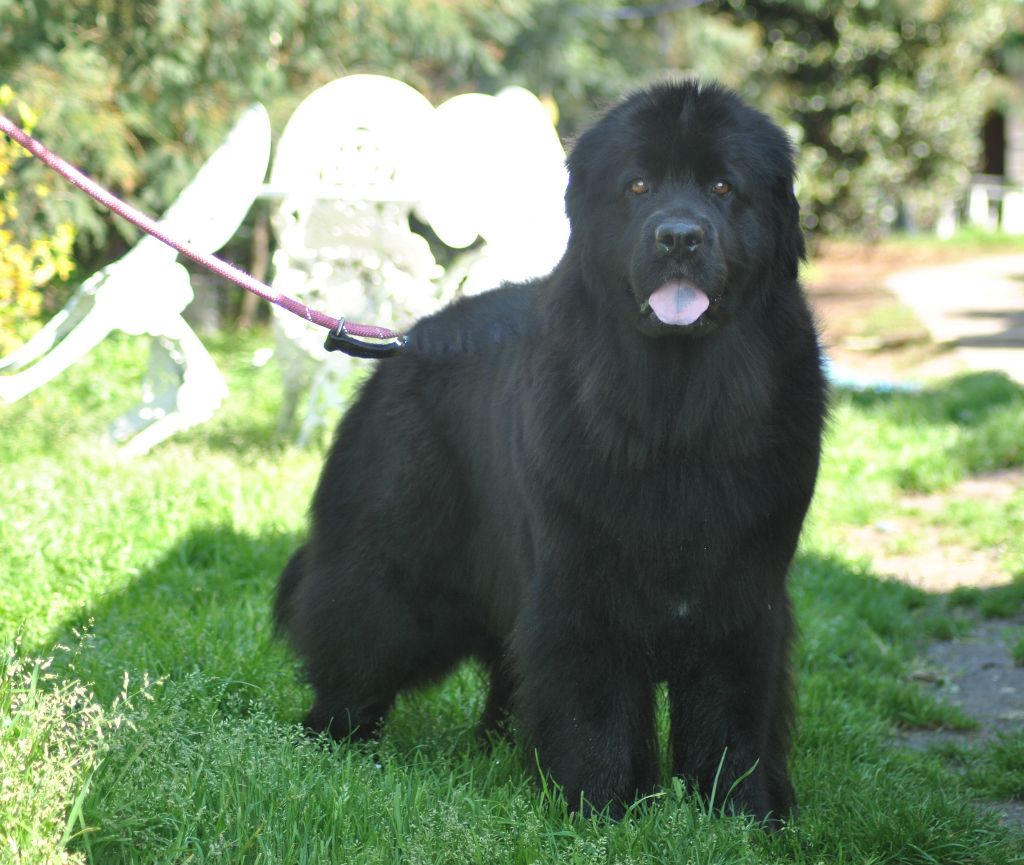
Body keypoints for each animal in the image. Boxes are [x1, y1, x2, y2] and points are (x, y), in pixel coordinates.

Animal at [276, 82, 827, 823]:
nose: (678, 236)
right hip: (396, 550)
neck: (678, 409)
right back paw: (333, 737)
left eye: (722, 187)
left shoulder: (744, 590)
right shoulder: (581, 578)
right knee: (360, 626)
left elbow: (735, 709)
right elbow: (593, 700)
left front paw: (743, 812)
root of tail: (401, 344)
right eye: (638, 185)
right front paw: (600, 807)